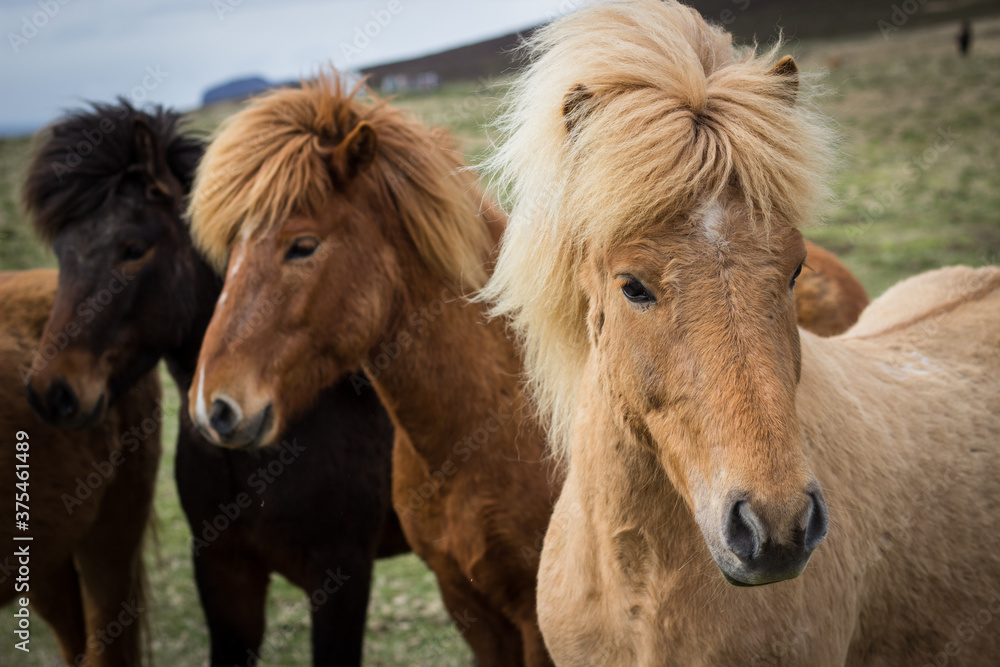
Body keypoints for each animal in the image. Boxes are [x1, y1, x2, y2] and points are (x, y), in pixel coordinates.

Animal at [182, 71, 872, 665]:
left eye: (301, 245)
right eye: (230, 249)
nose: (216, 405)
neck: (481, 426)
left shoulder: (526, 619)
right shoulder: (468, 607)